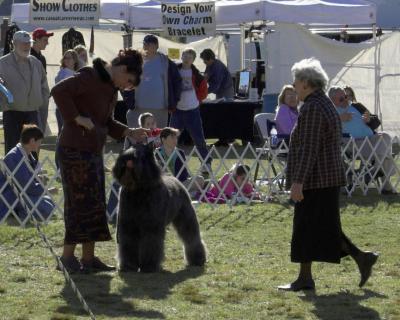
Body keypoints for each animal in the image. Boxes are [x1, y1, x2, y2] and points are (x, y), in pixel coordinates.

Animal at [112, 144, 206, 272]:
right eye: (124, 154)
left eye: (139, 156)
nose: (126, 162)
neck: (138, 190)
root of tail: (177, 181)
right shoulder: (127, 226)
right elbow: (128, 245)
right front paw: (128, 265)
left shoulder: (151, 227)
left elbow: (151, 245)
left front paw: (149, 266)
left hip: (186, 220)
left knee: (192, 238)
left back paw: (197, 259)